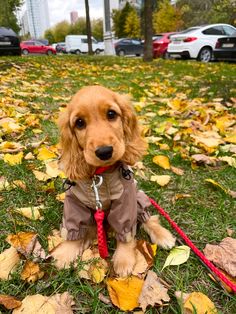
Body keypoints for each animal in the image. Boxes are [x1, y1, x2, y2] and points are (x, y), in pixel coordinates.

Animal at [53, 84, 175, 276]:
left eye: (111, 114)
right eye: (79, 123)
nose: (104, 151)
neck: (100, 176)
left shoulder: (126, 200)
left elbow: (125, 232)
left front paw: (124, 259)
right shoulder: (74, 201)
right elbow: (74, 227)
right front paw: (66, 252)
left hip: (139, 197)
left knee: (148, 218)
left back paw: (163, 236)